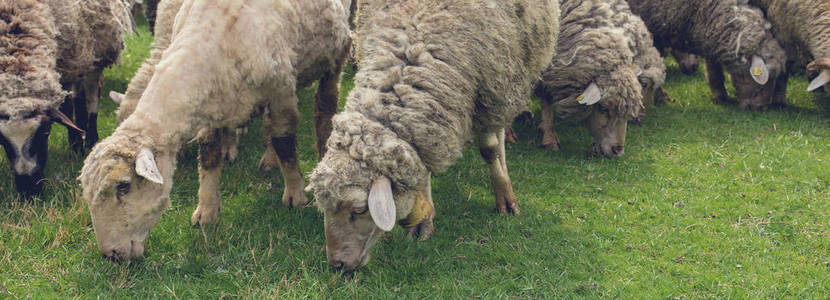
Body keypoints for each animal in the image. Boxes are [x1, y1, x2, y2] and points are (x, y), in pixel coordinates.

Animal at [0, 0, 132, 197]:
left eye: (45, 132)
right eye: (2, 141)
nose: (29, 191)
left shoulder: (69, 63)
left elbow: (68, 109)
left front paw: (76, 149)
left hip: (94, 44)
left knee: (91, 92)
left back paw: (89, 140)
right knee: (80, 97)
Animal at [78, 0, 352, 262]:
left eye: (123, 187)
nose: (111, 255)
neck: (208, 38)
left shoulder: (281, 91)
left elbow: (284, 141)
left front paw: (295, 194)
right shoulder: (211, 106)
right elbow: (209, 156)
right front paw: (207, 211)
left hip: (334, 57)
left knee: (323, 110)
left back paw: (321, 151)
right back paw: (269, 159)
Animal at [308, 0, 564, 270]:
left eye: (358, 210)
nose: (337, 264)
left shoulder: (489, 89)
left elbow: (489, 149)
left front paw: (504, 195)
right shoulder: (428, 124)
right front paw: (424, 222)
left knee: (500, 129)